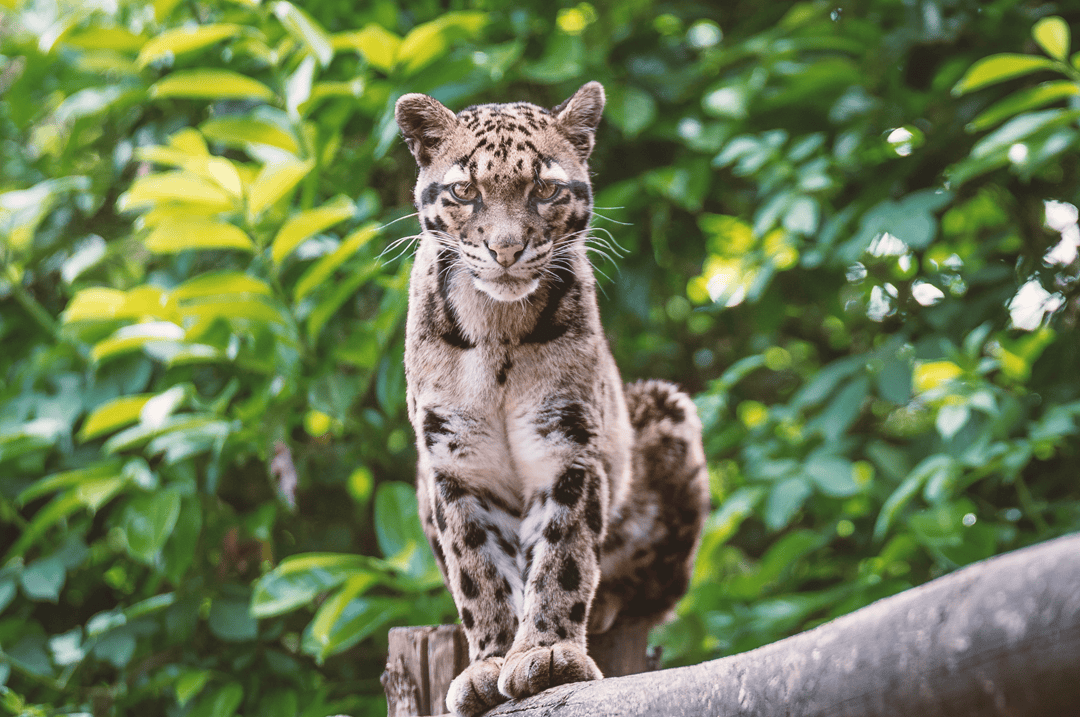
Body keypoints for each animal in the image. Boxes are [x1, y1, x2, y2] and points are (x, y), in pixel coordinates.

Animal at [395, 80, 708, 712]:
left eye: (543, 188)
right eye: (465, 190)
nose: (506, 250)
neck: (496, 330)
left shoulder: (568, 444)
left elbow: (562, 555)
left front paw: (545, 653)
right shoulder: (454, 459)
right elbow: (477, 568)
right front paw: (489, 662)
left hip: (667, 413)